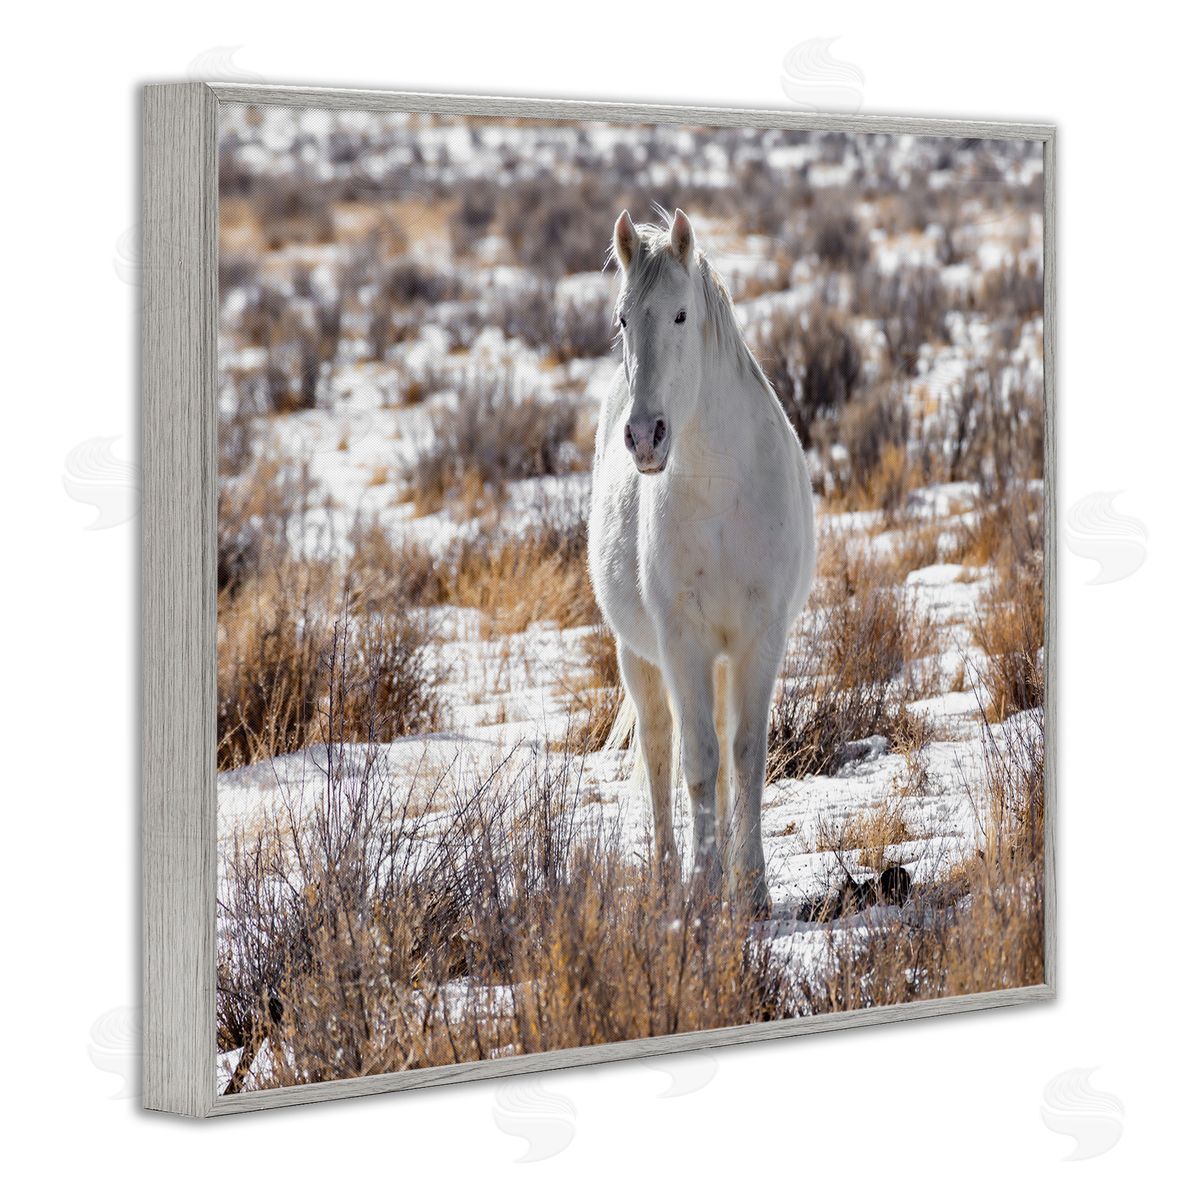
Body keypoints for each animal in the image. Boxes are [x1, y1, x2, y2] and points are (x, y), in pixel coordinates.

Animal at [587, 207, 816, 917]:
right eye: (621, 319)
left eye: (682, 315)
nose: (644, 436)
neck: (720, 490)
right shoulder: (681, 641)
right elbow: (695, 760)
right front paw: (705, 887)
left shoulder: (759, 638)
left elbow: (745, 754)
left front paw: (753, 888)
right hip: (640, 656)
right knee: (661, 747)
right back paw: (668, 874)